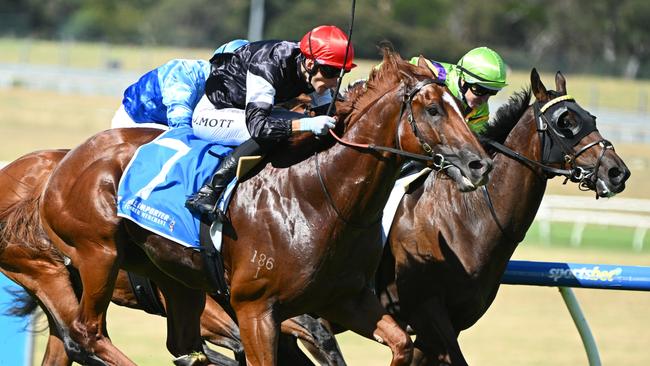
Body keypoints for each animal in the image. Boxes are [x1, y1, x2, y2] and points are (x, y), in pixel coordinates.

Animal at [36, 50, 492, 364]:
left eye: (464, 109)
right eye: (433, 109)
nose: (480, 164)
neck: (320, 197)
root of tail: (66, 160)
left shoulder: (346, 298)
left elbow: (402, 345)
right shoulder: (256, 311)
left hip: (173, 277)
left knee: (179, 345)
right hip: (98, 252)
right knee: (85, 334)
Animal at [372, 70, 632, 364]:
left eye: (592, 118)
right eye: (566, 122)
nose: (617, 172)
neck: (465, 218)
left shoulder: (452, 321)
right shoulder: (427, 310)